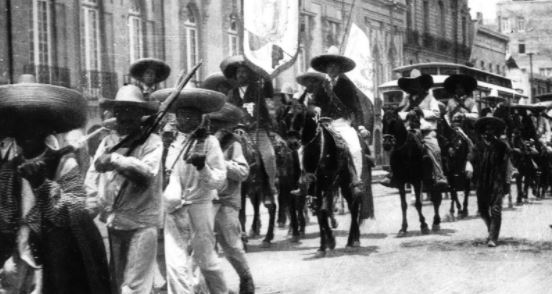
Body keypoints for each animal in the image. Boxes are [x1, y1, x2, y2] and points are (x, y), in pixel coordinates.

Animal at [284, 105, 366, 255]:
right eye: (286, 118)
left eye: (301, 117)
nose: (293, 143)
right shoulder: (315, 188)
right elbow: (320, 212)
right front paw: (324, 245)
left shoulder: (325, 185)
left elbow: (323, 210)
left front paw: (329, 241)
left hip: (348, 184)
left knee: (354, 206)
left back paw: (352, 241)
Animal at [384, 107, 444, 237]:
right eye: (382, 121)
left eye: (394, 121)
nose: (386, 144)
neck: (405, 152)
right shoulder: (400, 182)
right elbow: (404, 205)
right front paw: (403, 228)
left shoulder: (416, 181)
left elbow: (418, 203)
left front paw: (424, 225)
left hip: (432, 181)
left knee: (436, 199)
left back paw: (436, 223)